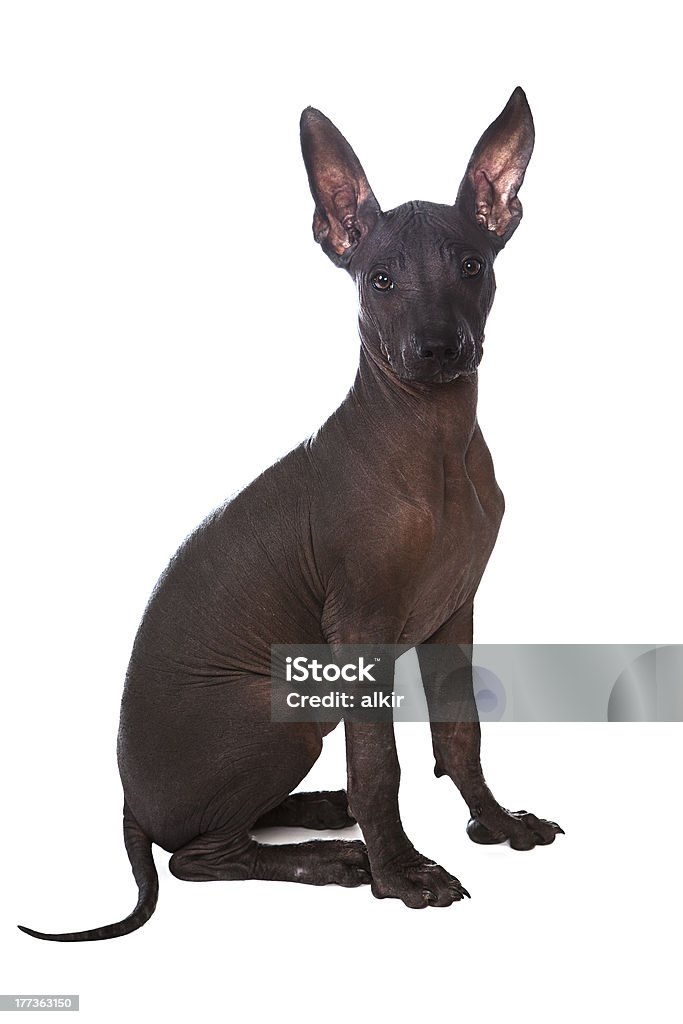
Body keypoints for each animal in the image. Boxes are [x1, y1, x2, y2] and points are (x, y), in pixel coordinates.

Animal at [20, 90, 561, 942]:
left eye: (471, 266)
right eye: (380, 280)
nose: (438, 348)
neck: (434, 444)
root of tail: (129, 807)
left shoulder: (454, 614)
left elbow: (460, 731)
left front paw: (496, 823)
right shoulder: (361, 627)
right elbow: (380, 766)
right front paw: (401, 874)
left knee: (225, 831)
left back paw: (321, 814)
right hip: (283, 713)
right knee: (199, 855)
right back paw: (334, 858)